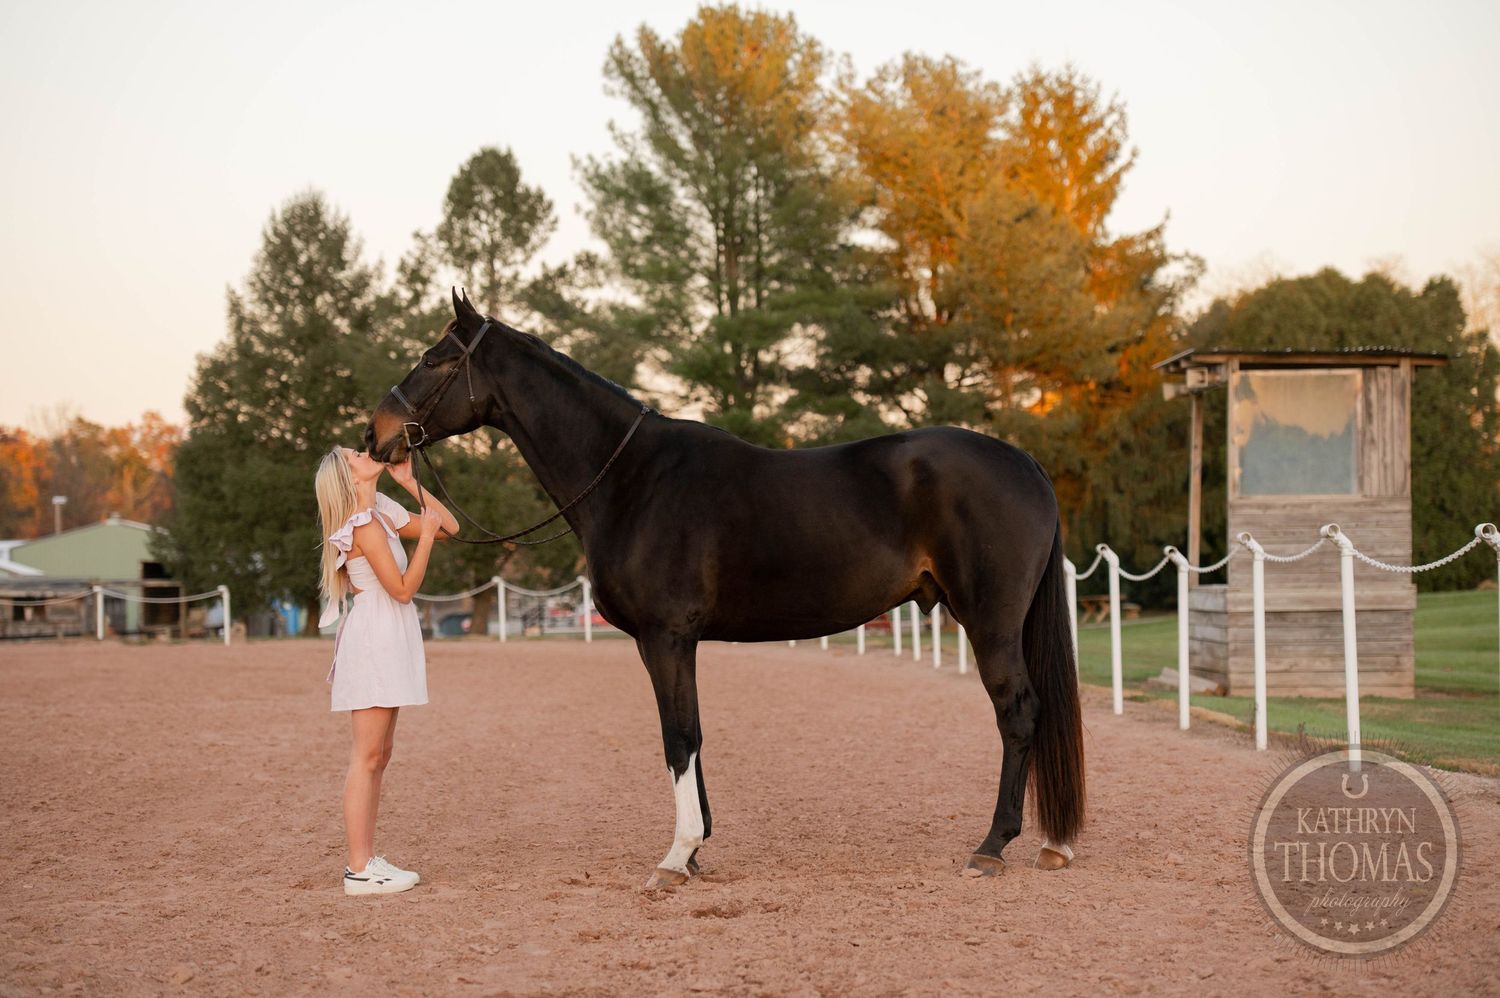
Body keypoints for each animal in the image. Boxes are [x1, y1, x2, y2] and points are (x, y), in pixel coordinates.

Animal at [365, 291, 1085, 887]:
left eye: (433, 359)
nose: (375, 434)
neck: (631, 477)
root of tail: (1026, 464)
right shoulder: (678, 642)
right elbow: (694, 733)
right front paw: (697, 849)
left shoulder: (664, 637)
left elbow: (677, 736)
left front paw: (676, 856)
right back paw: (1052, 844)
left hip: (990, 622)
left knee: (1018, 711)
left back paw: (992, 846)